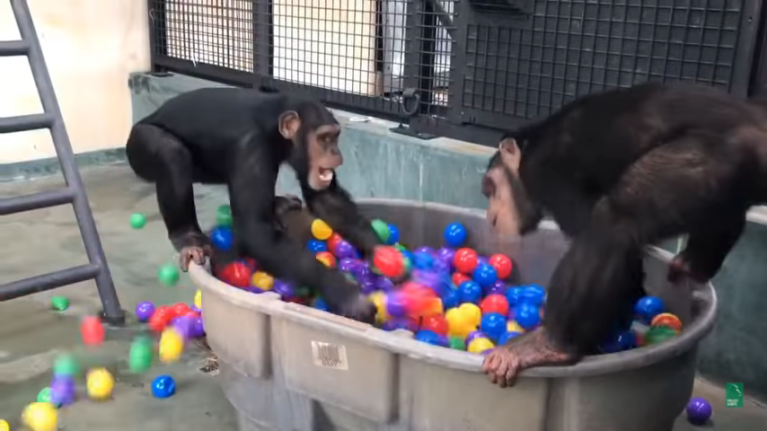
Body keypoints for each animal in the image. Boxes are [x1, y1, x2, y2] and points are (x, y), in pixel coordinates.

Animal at [124, 88, 382, 322]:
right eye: (323, 138)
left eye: (335, 136)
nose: (335, 151)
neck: (276, 131)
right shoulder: (251, 148)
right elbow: (255, 230)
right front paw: (345, 293)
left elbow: (325, 199)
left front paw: (380, 254)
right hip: (139, 144)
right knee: (172, 152)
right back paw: (187, 238)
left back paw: (280, 205)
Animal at [480, 82, 767, 388]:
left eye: (489, 187)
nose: (489, 211)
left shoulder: (548, 175)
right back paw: (693, 264)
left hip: (702, 160)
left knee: (613, 222)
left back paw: (547, 345)